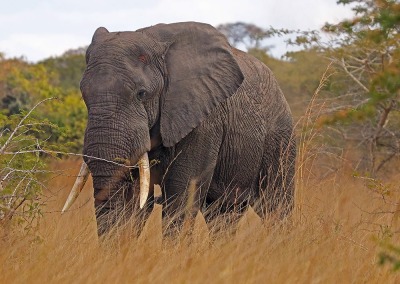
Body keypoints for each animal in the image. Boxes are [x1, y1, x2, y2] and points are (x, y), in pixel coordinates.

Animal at [61, 21, 296, 235]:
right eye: (84, 95)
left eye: (141, 94)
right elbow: (136, 198)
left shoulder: (203, 119)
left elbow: (181, 194)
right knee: (223, 213)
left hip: (280, 137)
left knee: (276, 204)